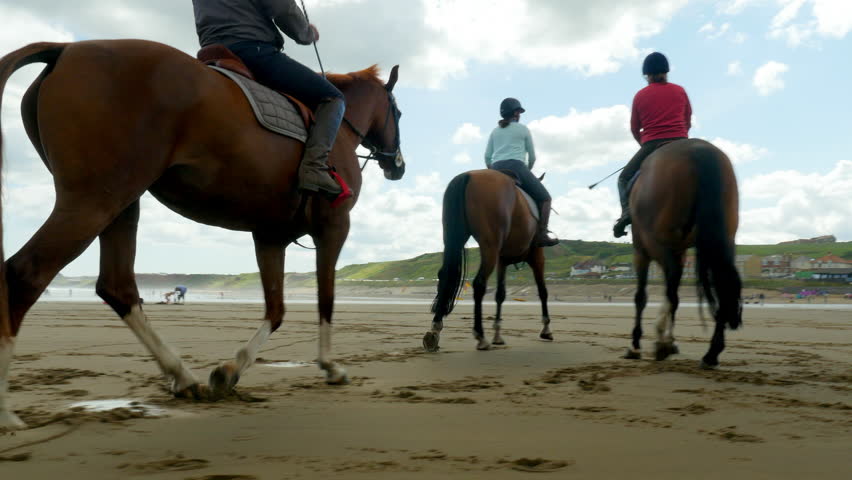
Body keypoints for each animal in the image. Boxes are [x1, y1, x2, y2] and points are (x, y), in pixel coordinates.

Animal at [0, 40, 404, 432]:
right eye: (398, 114)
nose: (398, 166)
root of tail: (65, 48)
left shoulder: (270, 236)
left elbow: (276, 310)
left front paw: (230, 371)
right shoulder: (333, 228)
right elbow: (325, 300)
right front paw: (329, 366)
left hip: (121, 204)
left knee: (117, 286)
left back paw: (182, 376)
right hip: (94, 201)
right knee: (25, 273)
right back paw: (7, 411)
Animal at [424, 170, 552, 352]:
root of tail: (468, 175)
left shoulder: (502, 261)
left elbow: (500, 295)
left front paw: (497, 335)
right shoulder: (537, 257)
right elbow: (543, 291)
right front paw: (546, 329)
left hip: (455, 240)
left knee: (445, 277)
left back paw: (435, 330)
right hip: (489, 247)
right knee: (479, 284)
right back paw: (480, 336)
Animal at [624, 137, 744, 370]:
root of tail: (699, 150)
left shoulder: (642, 252)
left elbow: (641, 296)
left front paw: (636, 345)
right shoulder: (679, 251)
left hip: (658, 242)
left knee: (671, 284)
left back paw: (663, 342)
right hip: (721, 240)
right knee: (722, 284)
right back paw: (711, 353)